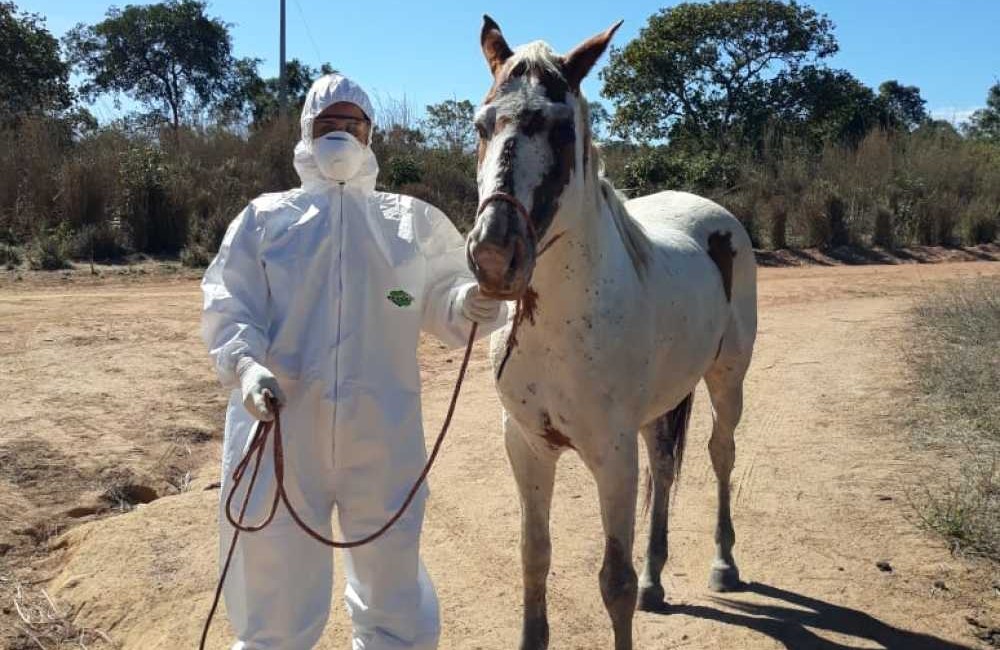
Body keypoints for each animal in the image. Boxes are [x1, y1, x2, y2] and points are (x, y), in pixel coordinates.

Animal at [466, 15, 756, 648]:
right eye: (481, 124)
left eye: (560, 129)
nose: (495, 255)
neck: (559, 328)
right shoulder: (526, 446)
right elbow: (534, 557)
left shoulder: (611, 455)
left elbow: (613, 583)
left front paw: (635, 583)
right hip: (659, 407)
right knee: (665, 468)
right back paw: (656, 580)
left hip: (727, 380)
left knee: (720, 455)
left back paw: (724, 564)